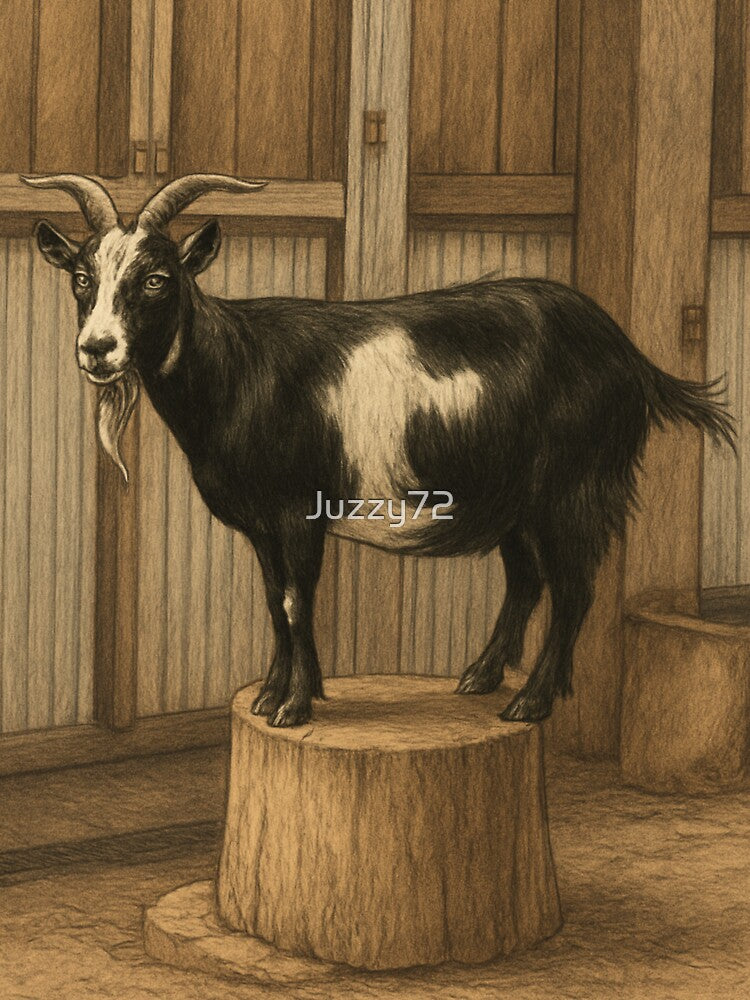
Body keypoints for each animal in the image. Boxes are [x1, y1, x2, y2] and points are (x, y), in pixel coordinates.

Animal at [25, 173, 735, 728]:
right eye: (82, 277)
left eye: (156, 279)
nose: (97, 349)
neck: (242, 367)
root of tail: (632, 357)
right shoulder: (261, 524)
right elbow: (272, 600)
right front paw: (274, 695)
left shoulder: (299, 511)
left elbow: (294, 600)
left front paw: (293, 707)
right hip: (513, 499)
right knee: (528, 579)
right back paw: (480, 677)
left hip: (572, 486)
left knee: (574, 588)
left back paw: (529, 702)